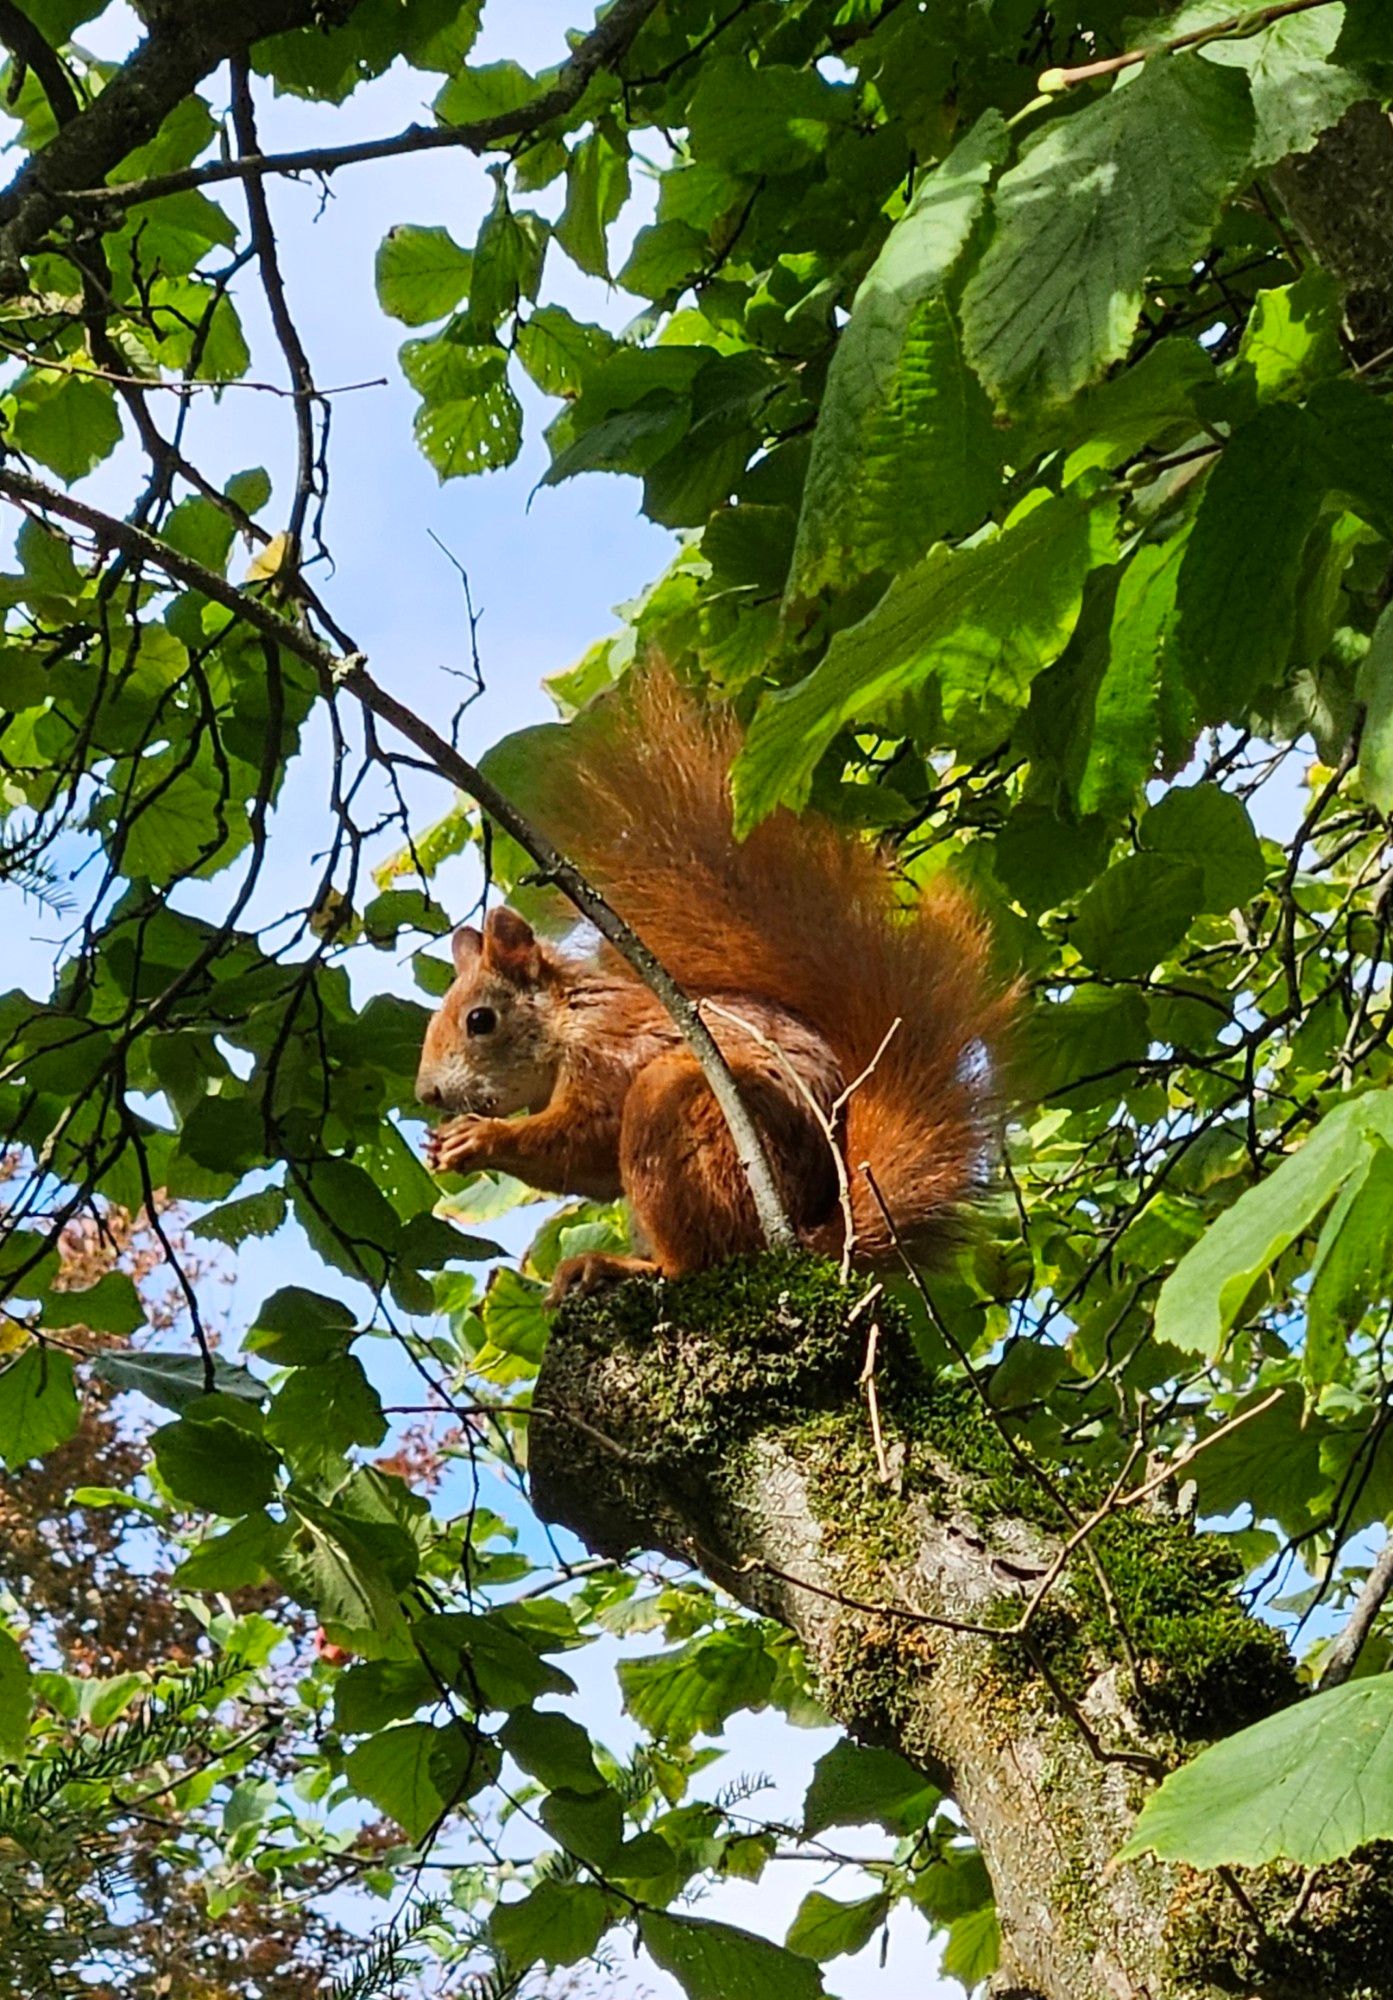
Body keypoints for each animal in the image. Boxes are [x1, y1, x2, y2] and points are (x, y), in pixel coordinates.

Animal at [414, 664, 1012, 1304]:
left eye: (480, 1020)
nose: (427, 1094)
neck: (569, 1019)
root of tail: (806, 1237)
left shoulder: (610, 1052)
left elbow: (587, 1138)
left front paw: (478, 1139)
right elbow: (592, 1174)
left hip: (684, 1113)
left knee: (703, 1257)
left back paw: (624, 1267)